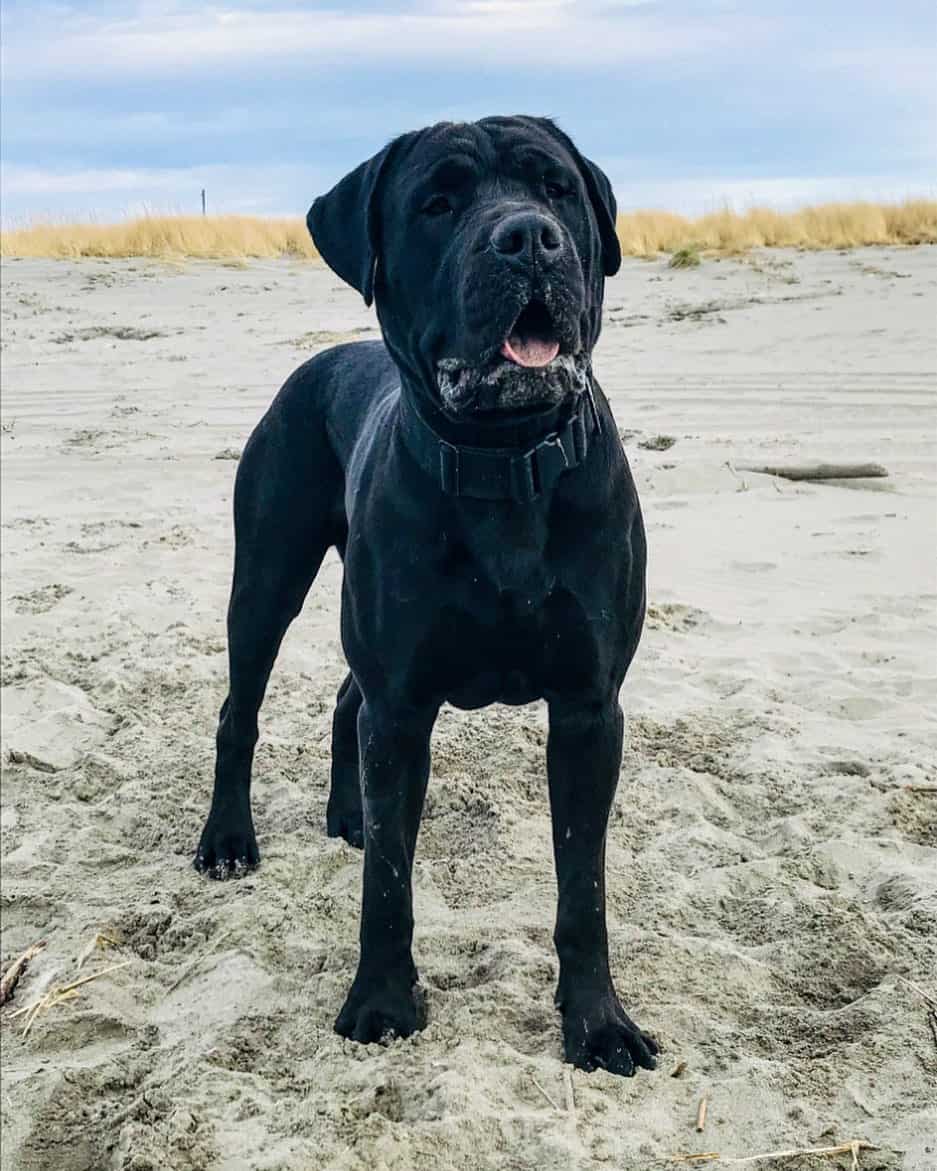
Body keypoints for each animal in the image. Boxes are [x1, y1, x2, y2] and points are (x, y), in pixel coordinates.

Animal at [194, 114, 655, 1072]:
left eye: (555, 189)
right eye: (437, 204)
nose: (527, 238)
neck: (504, 462)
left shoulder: (588, 707)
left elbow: (582, 884)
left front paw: (597, 1021)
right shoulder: (403, 702)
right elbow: (388, 884)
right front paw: (379, 1000)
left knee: (345, 703)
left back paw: (350, 813)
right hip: (266, 576)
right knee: (239, 710)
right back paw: (227, 838)